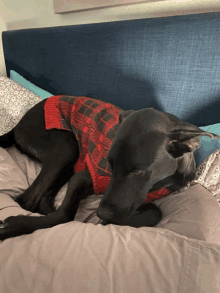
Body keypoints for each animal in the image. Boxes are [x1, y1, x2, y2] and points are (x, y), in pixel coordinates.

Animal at [0, 94, 217, 238]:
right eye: (110, 164)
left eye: (138, 171)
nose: (101, 214)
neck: (161, 183)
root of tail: (18, 124)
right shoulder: (82, 177)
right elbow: (64, 215)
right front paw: (18, 224)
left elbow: (155, 212)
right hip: (66, 146)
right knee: (27, 199)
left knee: (42, 198)